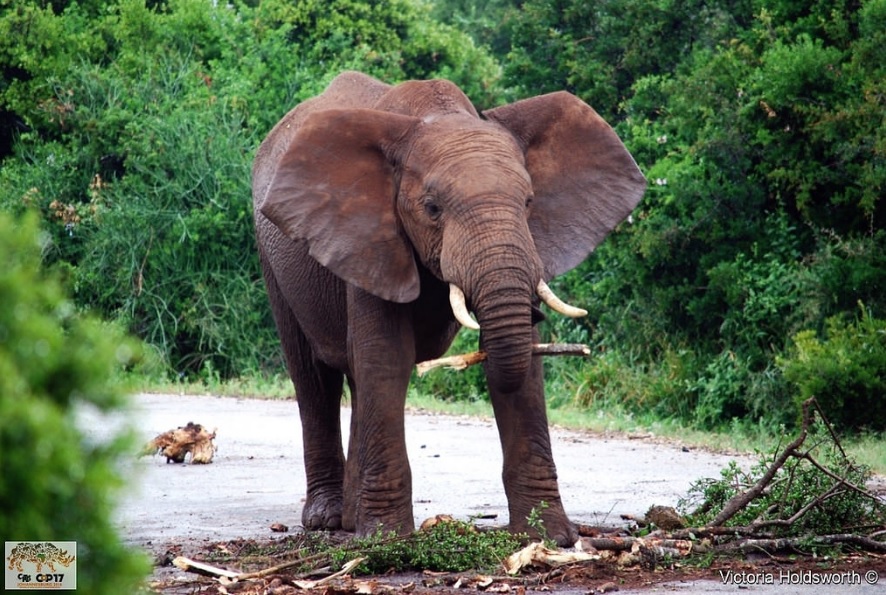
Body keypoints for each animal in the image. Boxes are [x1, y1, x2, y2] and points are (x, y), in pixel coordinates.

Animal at [251, 70, 644, 544]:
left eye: (529, 202)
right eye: (432, 208)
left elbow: (521, 366)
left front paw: (547, 539)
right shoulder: (371, 238)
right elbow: (387, 360)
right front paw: (389, 544)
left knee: (357, 380)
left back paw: (351, 520)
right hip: (273, 257)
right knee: (314, 378)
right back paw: (329, 520)